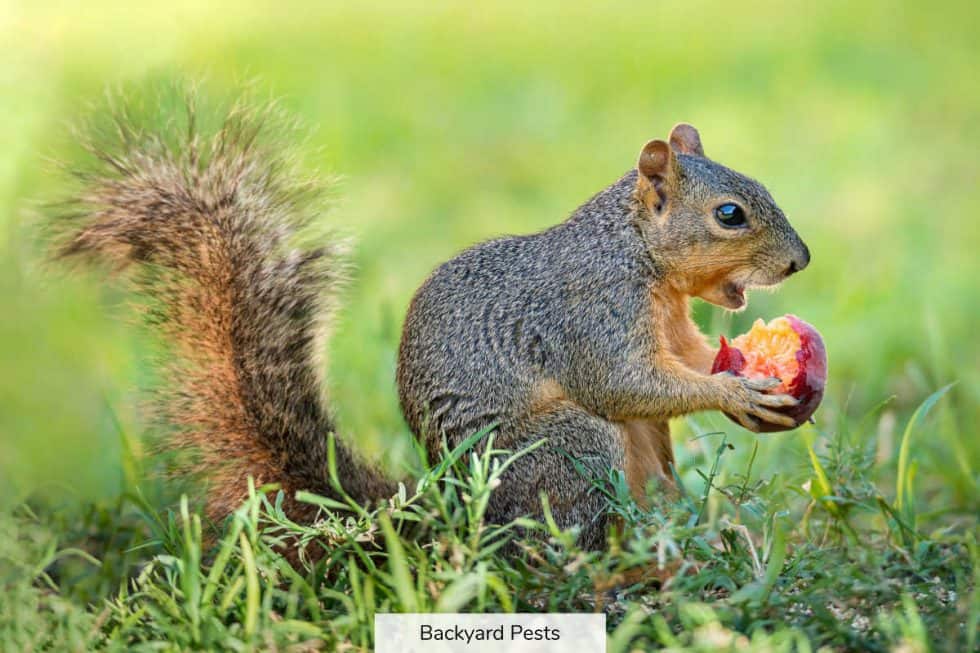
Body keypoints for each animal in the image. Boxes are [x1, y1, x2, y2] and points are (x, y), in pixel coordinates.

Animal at [50, 96, 809, 552]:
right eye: (730, 214)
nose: (801, 261)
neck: (637, 254)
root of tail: (443, 513)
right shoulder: (591, 308)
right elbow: (622, 382)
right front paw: (736, 391)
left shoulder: (671, 321)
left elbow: (686, 359)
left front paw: (744, 387)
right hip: (565, 449)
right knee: (564, 529)